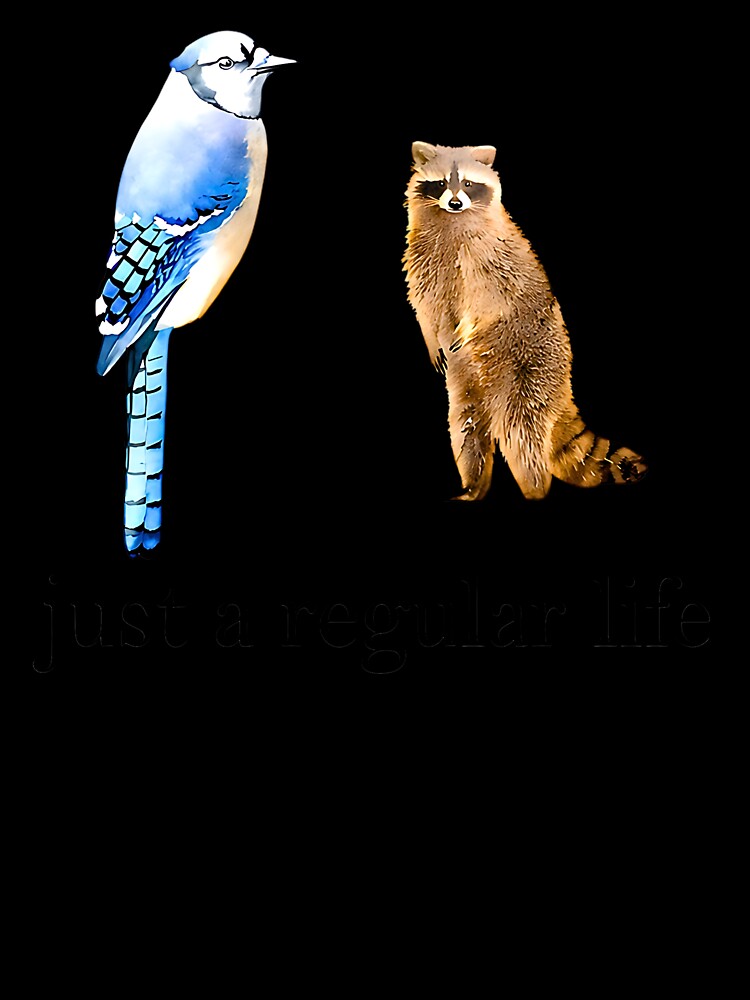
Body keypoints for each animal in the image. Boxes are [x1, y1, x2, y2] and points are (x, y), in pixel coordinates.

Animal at [403, 141, 646, 501]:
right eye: (442, 183)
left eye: (469, 184)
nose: (455, 203)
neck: (452, 220)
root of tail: (563, 389)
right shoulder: (422, 258)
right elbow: (425, 305)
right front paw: (431, 338)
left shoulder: (491, 259)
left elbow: (492, 298)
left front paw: (468, 324)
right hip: (469, 385)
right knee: (466, 427)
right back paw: (474, 486)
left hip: (531, 371)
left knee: (523, 432)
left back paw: (535, 490)